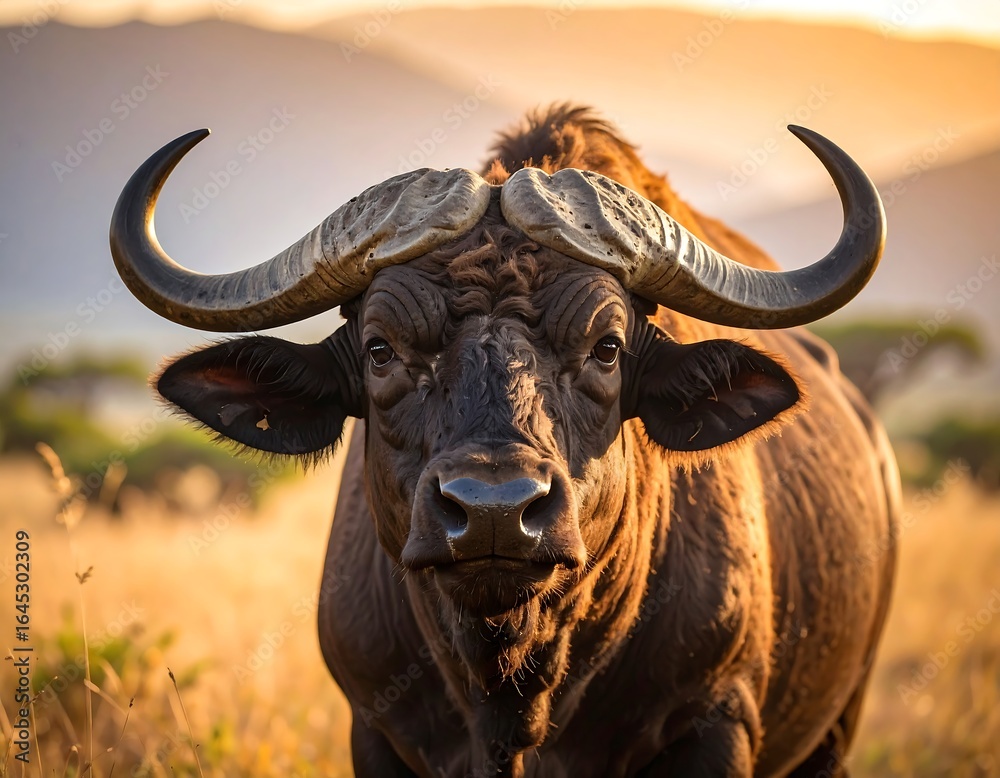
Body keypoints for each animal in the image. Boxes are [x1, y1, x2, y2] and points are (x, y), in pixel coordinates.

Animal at [111, 105, 899, 776]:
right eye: (379, 351)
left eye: (607, 348)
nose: (495, 512)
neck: (509, 690)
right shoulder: (375, 730)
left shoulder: (717, 720)